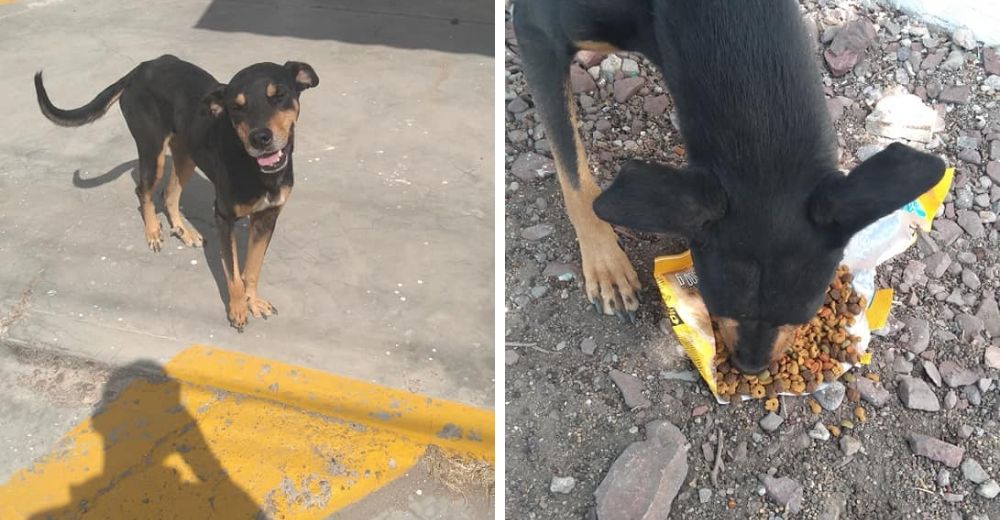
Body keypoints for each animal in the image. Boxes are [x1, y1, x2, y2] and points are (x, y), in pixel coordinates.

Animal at [35, 54, 318, 332]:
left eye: (279, 95)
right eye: (237, 107)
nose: (260, 139)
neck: (255, 167)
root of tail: (139, 69)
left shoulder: (267, 217)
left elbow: (252, 268)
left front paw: (253, 301)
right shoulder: (224, 218)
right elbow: (233, 273)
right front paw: (237, 309)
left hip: (186, 155)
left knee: (169, 195)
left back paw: (183, 231)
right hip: (153, 153)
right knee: (143, 191)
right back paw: (152, 231)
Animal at [516, 0, 944, 374]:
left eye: (800, 315)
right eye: (721, 305)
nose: (750, 368)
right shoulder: (537, 33)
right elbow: (573, 172)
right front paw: (605, 264)